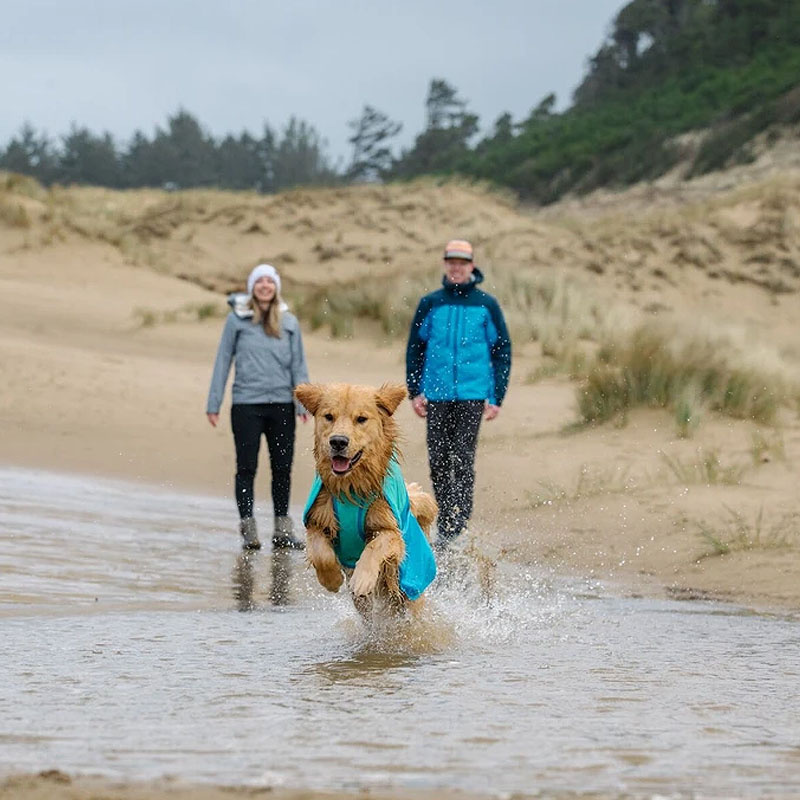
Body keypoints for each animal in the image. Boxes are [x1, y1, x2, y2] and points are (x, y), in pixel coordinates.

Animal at [296, 384, 438, 616]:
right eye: (329, 416)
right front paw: (331, 579)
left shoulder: (391, 530)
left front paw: (363, 579)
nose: (338, 441)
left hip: (410, 593)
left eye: (361, 419)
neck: (351, 489)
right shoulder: (318, 520)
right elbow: (320, 553)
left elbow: (375, 545)